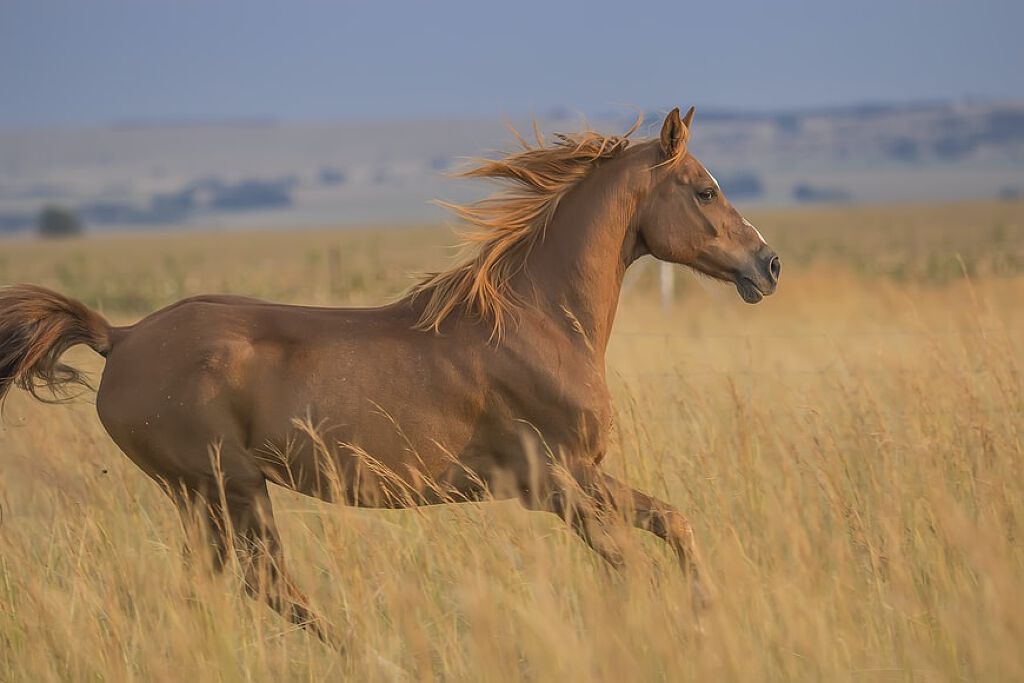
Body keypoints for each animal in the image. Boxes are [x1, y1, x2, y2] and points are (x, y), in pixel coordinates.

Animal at [0, 108, 774, 647]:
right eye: (705, 191)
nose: (767, 265)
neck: (538, 319)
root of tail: (121, 337)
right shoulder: (556, 482)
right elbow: (633, 562)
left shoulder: (581, 477)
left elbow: (673, 522)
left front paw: (705, 613)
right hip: (227, 487)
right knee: (267, 583)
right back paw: (363, 650)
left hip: (203, 496)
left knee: (220, 585)